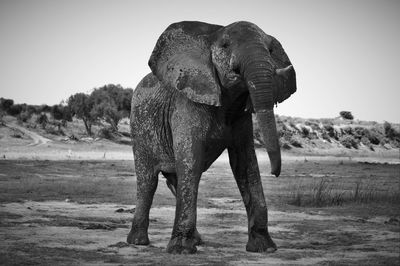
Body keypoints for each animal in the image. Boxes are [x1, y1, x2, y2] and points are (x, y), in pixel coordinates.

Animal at [128, 20, 296, 254]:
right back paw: (138, 242)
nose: (275, 172)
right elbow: (191, 160)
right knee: (148, 181)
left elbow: (245, 163)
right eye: (225, 46)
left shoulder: (241, 118)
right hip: (140, 127)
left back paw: (197, 240)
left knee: (175, 179)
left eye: (271, 49)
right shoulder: (186, 104)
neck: (212, 33)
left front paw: (264, 248)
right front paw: (181, 250)